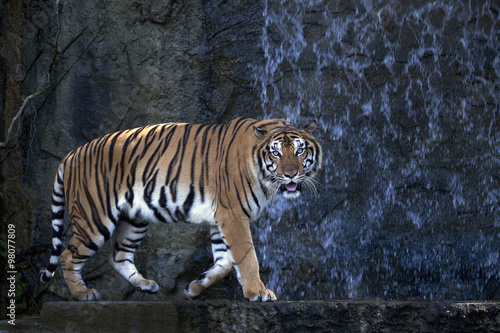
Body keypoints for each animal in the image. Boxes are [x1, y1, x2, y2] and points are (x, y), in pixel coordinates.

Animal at [38, 116, 320, 300]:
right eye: (275, 153)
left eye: (300, 150)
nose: (291, 174)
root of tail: (72, 153)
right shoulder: (233, 215)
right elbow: (246, 257)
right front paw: (258, 292)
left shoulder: (221, 219)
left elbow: (224, 263)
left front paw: (194, 287)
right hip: (94, 217)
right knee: (67, 255)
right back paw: (82, 294)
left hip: (134, 220)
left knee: (118, 255)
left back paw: (145, 285)